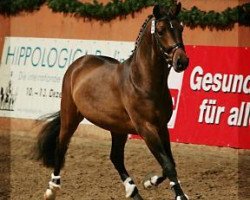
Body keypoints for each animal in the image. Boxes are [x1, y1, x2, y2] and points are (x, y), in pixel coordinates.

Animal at [36, 3, 189, 200]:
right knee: (61, 145)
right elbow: (168, 164)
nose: (182, 61)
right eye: (161, 31)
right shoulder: (146, 128)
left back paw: (132, 190)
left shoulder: (162, 127)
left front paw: (150, 182)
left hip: (118, 128)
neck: (142, 82)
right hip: (70, 116)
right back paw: (52, 188)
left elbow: (169, 162)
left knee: (115, 157)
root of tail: (79, 63)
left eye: (180, 28)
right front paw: (179, 195)